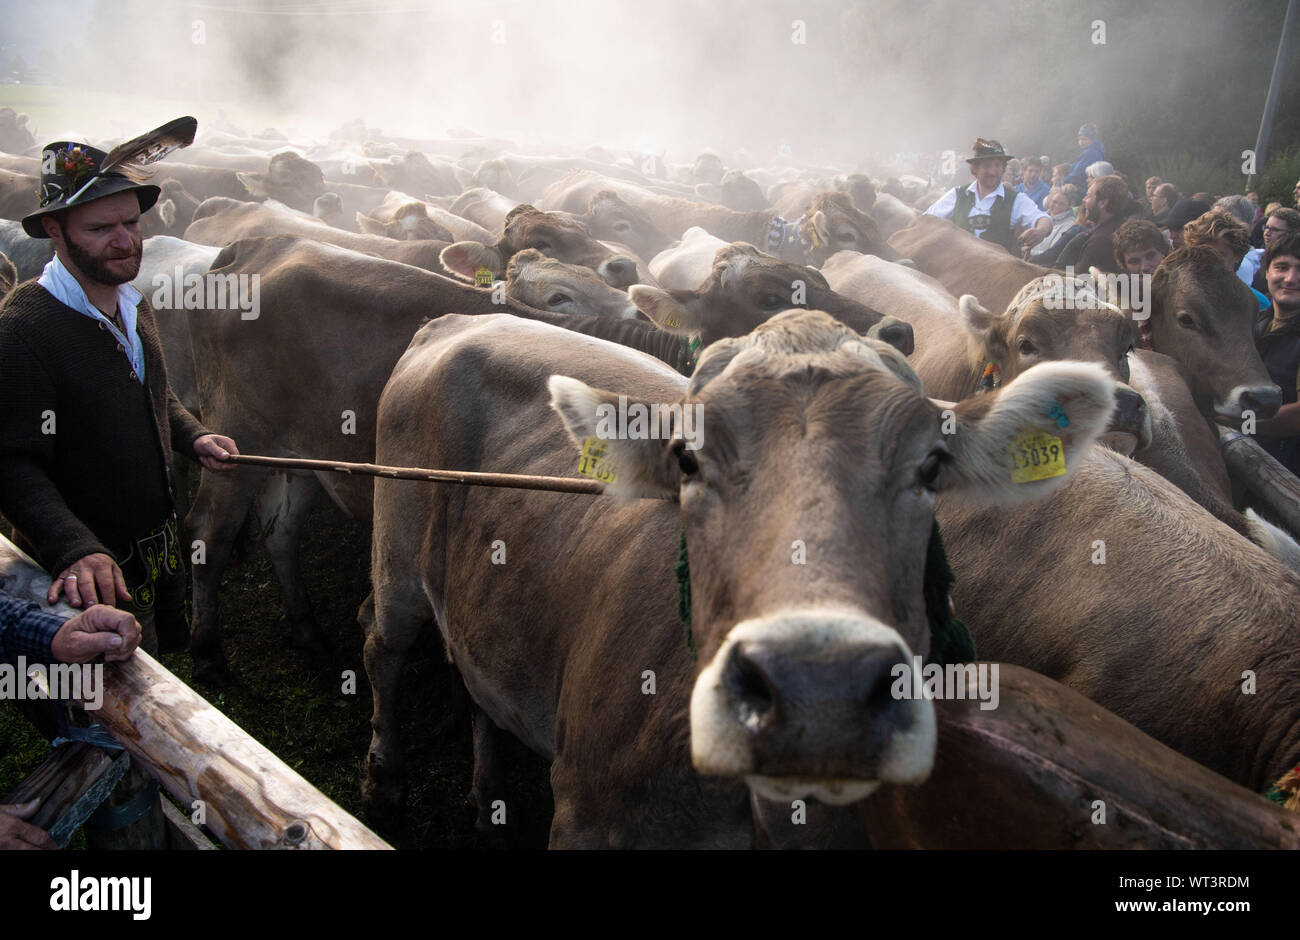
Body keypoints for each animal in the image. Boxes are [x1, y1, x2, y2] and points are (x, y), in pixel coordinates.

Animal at [361, 309, 1112, 847]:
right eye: (686, 459)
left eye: (931, 467)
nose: (818, 689)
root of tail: (458, 319)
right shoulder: (588, 814)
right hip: (396, 549)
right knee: (381, 643)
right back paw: (383, 782)